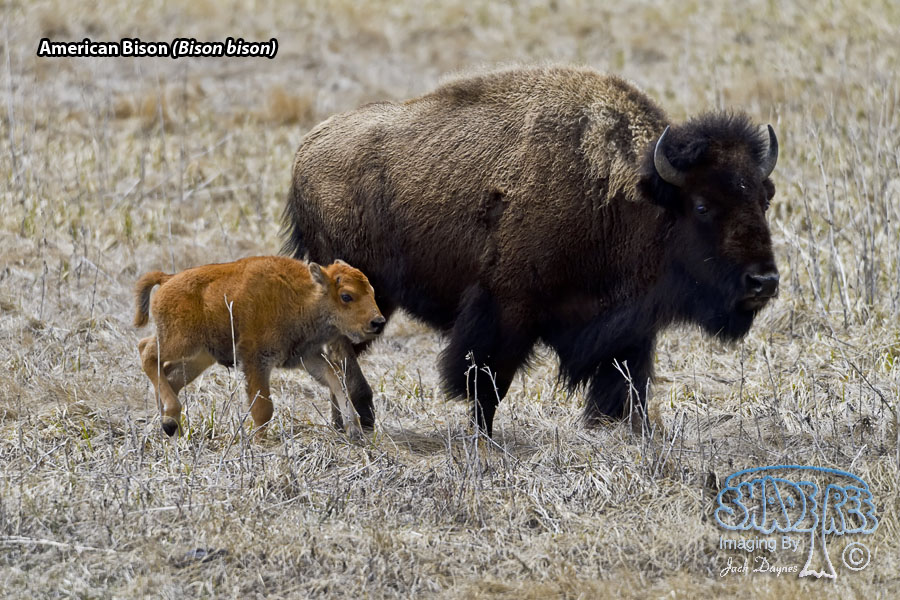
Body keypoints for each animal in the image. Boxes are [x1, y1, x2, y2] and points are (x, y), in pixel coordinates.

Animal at [283, 65, 779, 436]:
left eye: (764, 197)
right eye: (702, 205)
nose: (764, 281)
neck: (629, 196)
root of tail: (306, 150)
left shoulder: (629, 325)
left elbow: (626, 385)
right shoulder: (505, 310)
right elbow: (487, 383)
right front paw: (482, 437)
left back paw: (348, 422)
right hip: (366, 294)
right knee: (341, 352)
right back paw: (362, 418)